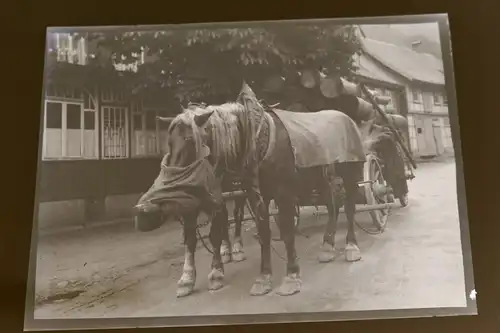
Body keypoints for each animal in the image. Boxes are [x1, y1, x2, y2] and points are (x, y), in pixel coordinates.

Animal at [135, 83, 366, 298]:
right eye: (169, 142)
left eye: (190, 140)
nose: (144, 210)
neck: (257, 142)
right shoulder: (256, 197)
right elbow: (262, 233)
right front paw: (263, 278)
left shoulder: (284, 194)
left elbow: (287, 232)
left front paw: (291, 277)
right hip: (322, 179)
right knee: (333, 204)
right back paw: (327, 247)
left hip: (350, 175)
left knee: (350, 206)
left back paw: (351, 247)